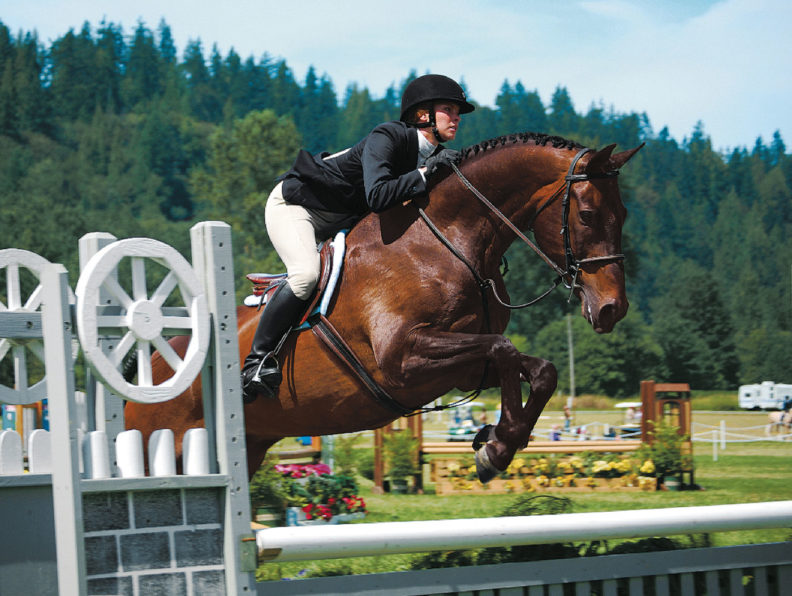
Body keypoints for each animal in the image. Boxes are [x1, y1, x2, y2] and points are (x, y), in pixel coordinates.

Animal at [125, 133, 643, 482]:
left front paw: (496, 444)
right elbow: (504, 348)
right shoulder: (402, 359)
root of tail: (149, 366)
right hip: (161, 452)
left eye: (624, 214)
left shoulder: (459, 367)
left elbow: (536, 368)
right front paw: (494, 446)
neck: (448, 240)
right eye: (588, 215)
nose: (612, 308)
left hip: (248, 448)